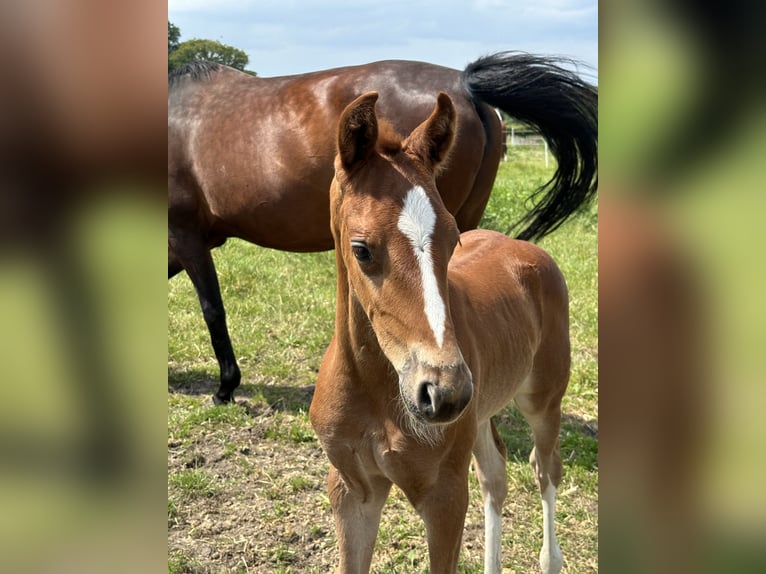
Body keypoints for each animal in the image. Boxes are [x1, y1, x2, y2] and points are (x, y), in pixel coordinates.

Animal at [308, 92, 572, 572]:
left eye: (453, 240)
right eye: (361, 249)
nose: (444, 392)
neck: (376, 391)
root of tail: (527, 249)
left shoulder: (445, 496)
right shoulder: (352, 490)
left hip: (542, 400)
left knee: (545, 469)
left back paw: (551, 558)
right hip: (481, 411)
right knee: (496, 476)